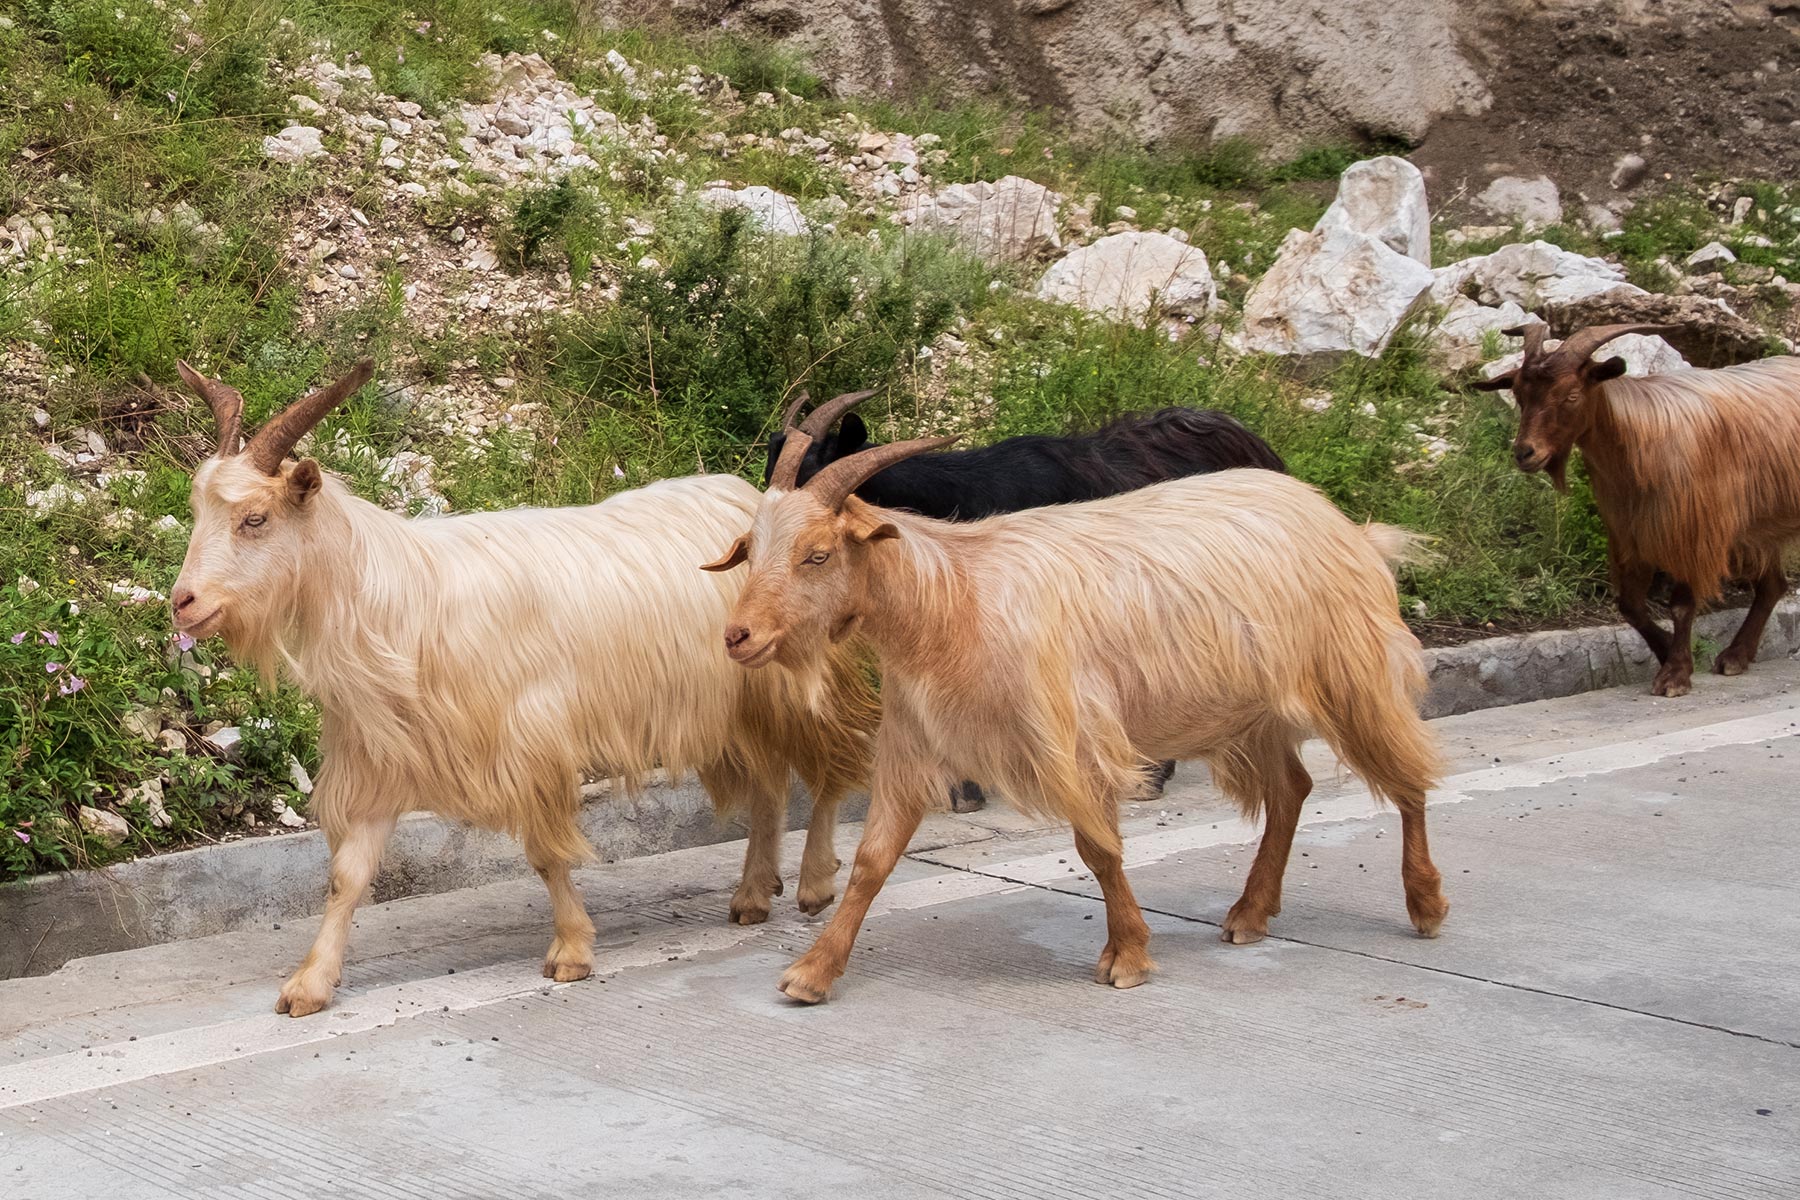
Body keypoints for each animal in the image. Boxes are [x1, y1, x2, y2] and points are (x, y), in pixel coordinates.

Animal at [171, 361, 874, 1021]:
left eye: (255, 518)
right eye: (200, 511)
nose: (183, 603)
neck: (398, 599)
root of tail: (751, 498)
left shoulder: (529, 740)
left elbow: (545, 854)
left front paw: (572, 951)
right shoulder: (381, 759)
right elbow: (348, 876)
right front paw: (310, 984)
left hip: (793, 683)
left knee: (829, 767)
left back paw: (813, 883)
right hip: (736, 705)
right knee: (770, 781)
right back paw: (754, 894)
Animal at [1476, 325, 1800, 705]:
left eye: (1571, 395)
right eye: (1518, 394)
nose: (1525, 453)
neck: (1637, 440)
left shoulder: (1690, 532)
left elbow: (1681, 606)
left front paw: (1675, 674)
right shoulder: (1628, 535)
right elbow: (1629, 606)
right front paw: (1667, 651)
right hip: (1759, 528)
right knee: (1772, 586)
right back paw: (1736, 656)